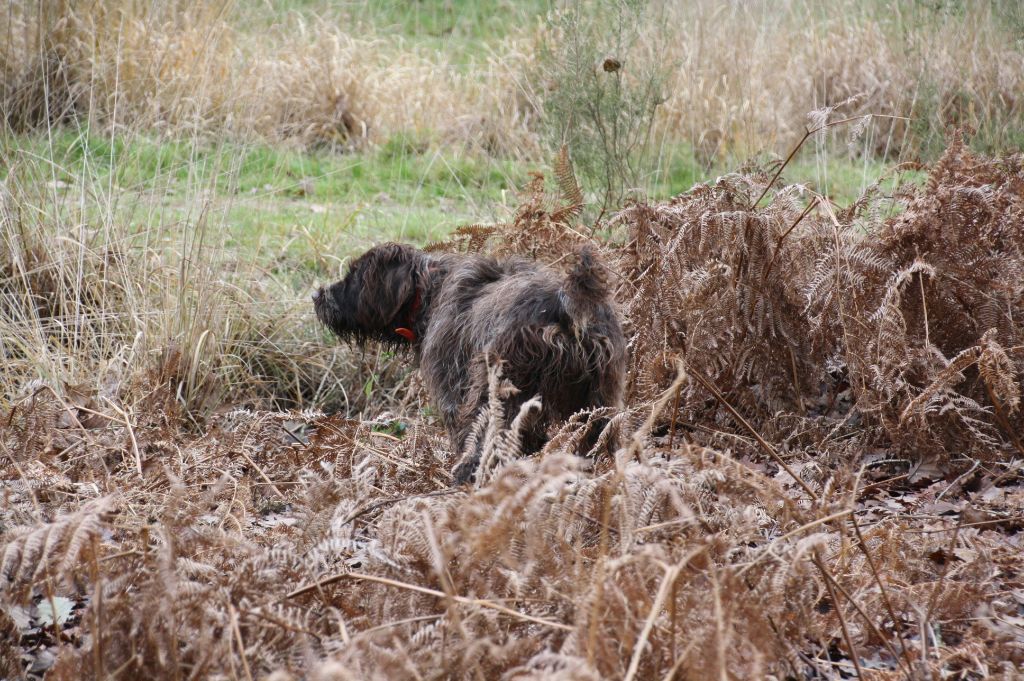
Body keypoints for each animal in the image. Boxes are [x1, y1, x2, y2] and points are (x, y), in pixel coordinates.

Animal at [311, 241, 622, 481]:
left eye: (355, 276)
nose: (317, 295)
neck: (428, 291)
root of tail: (563, 305)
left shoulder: (452, 390)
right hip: (599, 399)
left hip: (496, 390)